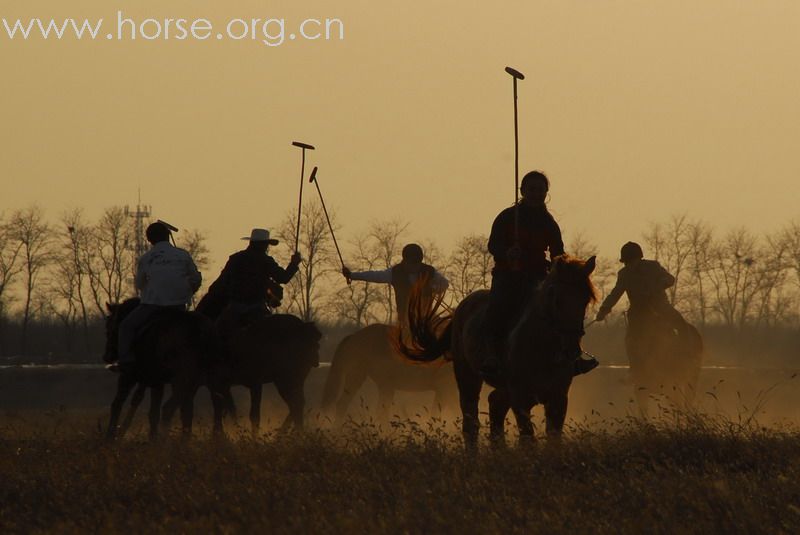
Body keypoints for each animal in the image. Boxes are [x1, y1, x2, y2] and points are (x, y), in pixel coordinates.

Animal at [103, 300, 223, 442]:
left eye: (109, 328)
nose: (107, 357)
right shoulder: (156, 382)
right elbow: (153, 411)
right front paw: (152, 438)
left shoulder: (129, 376)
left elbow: (118, 404)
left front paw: (111, 436)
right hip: (206, 380)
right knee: (205, 406)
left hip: (181, 381)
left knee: (169, 408)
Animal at [318, 324, 456, 426]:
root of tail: (354, 337)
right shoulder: (444, 389)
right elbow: (438, 415)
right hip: (376, 381)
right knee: (378, 411)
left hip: (365, 380)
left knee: (345, 405)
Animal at [400, 255, 592, 448]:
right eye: (556, 299)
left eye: (586, 300)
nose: (571, 350)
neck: (541, 348)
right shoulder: (520, 399)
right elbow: (527, 437)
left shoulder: (558, 399)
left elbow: (554, 438)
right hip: (467, 377)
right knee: (471, 421)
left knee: (495, 406)